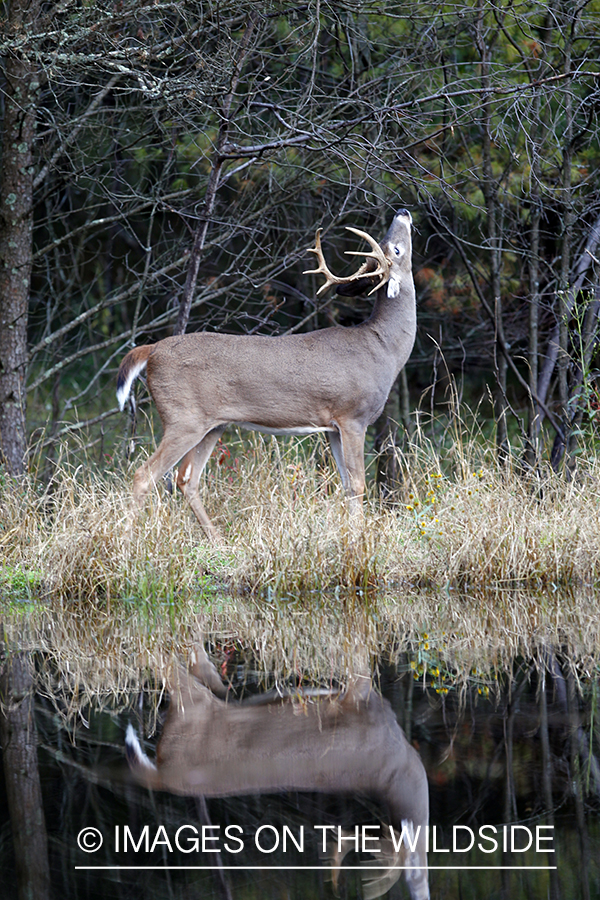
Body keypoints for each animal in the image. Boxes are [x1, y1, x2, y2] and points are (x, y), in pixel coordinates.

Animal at [117, 209, 418, 540]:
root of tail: (152, 350)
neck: (383, 349)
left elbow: (346, 484)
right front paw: (359, 539)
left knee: (186, 480)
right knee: (144, 474)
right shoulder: (353, 415)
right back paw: (127, 539)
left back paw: (218, 541)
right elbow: (358, 484)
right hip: (182, 417)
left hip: (212, 425)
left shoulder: (333, 427)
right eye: (396, 249)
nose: (403, 212)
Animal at [126, 644, 428, 900]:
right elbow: (359, 660)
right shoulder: (359, 696)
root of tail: (164, 776)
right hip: (193, 711)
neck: (399, 762)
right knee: (169, 664)